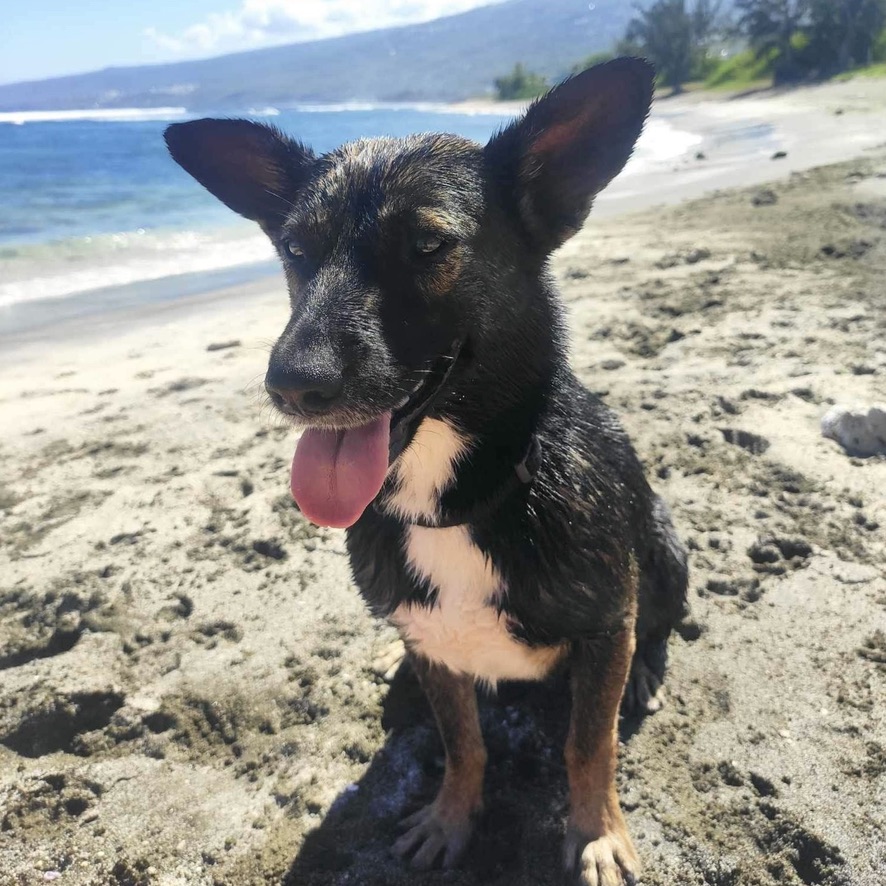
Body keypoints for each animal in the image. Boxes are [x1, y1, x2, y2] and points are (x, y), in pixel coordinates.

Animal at [168, 57, 692, 886]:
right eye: (295, 250)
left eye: (424, 244)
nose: (291, 384)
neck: (457, 501)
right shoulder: (439, 652)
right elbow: (462, 743)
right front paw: (451, 818)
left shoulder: (606, 621)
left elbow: (589, 742)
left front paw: (597, 833)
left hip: (665, 546)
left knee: (662, 620)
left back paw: (645, 669)